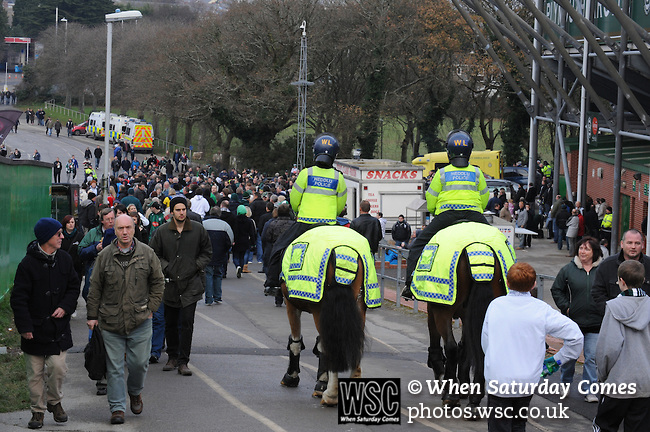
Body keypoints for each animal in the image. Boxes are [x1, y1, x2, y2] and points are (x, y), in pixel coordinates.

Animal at [278, 224, 380, 406]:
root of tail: (344, 250)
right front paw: (321, 381)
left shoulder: (292, 305)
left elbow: (296, 342)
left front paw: (292, 376)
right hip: (359, 306)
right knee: (355, 345)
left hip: (320, 310)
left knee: (330, 345)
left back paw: (331, 395)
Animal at [410, 221, 512, 414]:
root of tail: (479, 247)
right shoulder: (467, 317)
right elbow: (466, 347)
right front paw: (463, 386)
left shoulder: (434, 306)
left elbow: (441, 342)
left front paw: (442, 375)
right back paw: (474, 399)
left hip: (443, 311)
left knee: (450, 346)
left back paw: (451, 396)